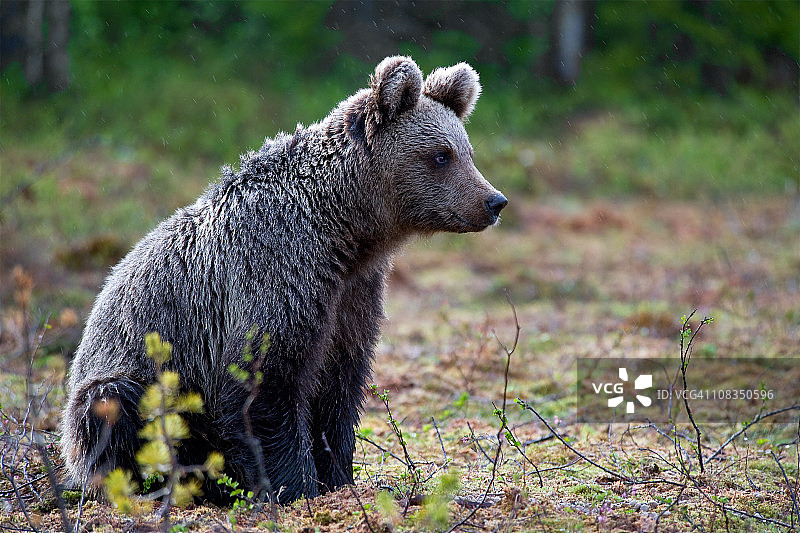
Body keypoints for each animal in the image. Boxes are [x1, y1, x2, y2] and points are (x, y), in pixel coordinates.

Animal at [61, 56, 507, 503]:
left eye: (467, 151)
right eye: (441, 155)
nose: (494, 201)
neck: (344, 230)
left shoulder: (352, 294)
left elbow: (339, 388)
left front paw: (338, 477)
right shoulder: (275, 273)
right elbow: (263, 385)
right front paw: (296, 486)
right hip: (125, 380)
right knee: (118, 407)